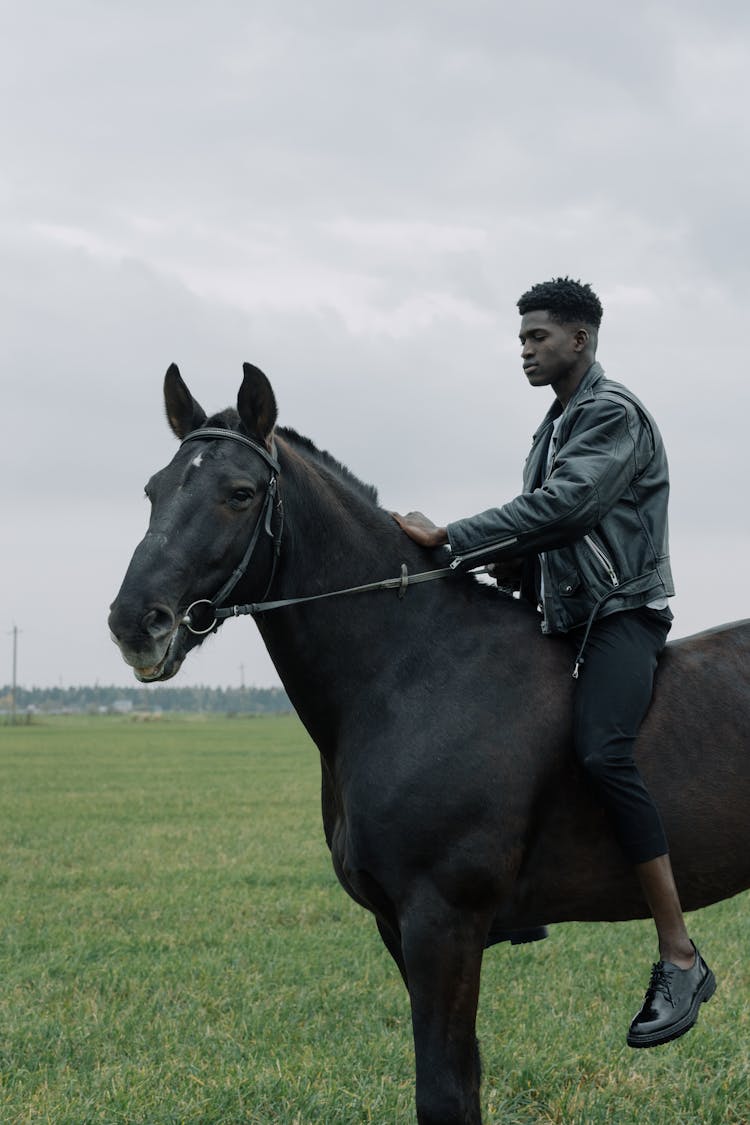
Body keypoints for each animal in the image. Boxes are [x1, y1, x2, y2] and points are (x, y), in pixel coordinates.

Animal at [106, 362, 750, 1125]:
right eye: (154, 488)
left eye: (239, 493)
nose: (135, 623)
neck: (413, 673)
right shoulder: (400, 930)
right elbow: (460, 1088)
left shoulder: (443, 924)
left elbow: (442, 1092)